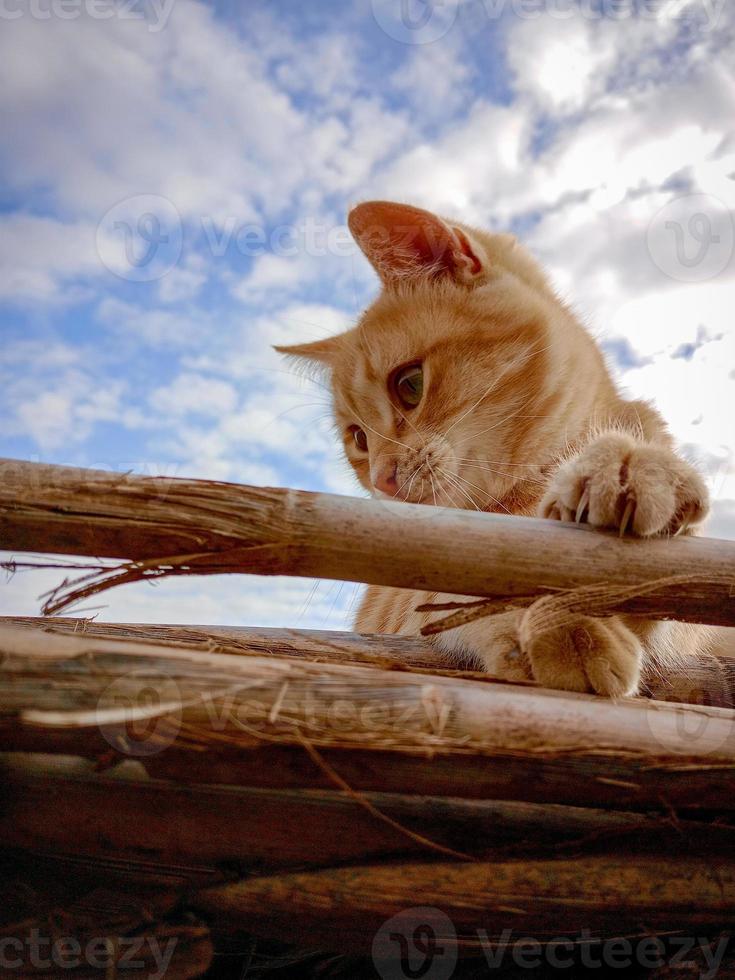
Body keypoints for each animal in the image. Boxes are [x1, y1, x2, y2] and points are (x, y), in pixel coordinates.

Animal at [278, 201, 712, 696]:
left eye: (409, 385)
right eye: (359, 439)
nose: (382, 480)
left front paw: (631, 469)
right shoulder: (397, 596)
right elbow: (448, 591)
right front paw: (551, 621)